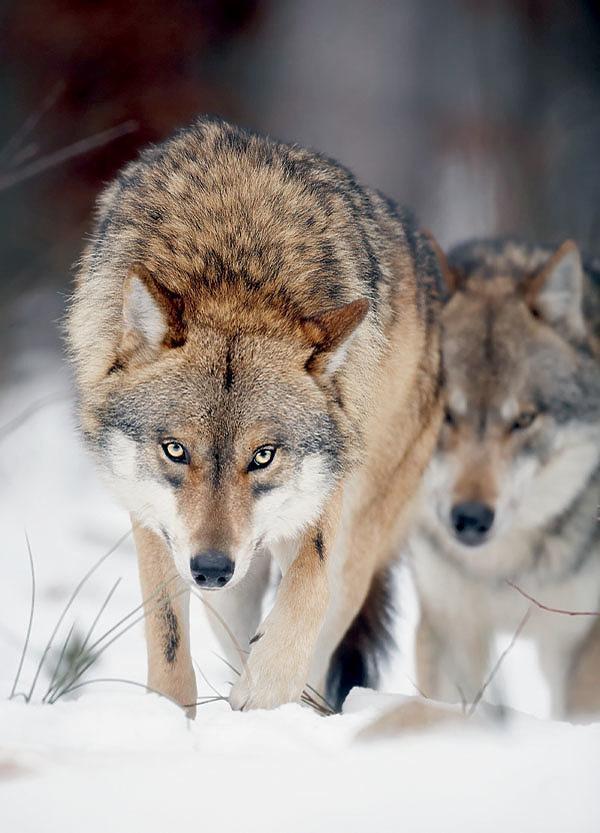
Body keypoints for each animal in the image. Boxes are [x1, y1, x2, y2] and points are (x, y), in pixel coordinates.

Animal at [67, 117, 443, 714]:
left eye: (263, 457)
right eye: (175, 450)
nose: (211, 568)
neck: (236, 271)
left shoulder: (324, 500)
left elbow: (308, 589)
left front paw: (264, 694)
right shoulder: (154, 522)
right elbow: (167, 638)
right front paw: (169, 718)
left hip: (355, 534)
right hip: (230, 589)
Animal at [408, 237, 600, 719]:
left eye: (524, 420)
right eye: (447, 414)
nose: (471, 518)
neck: (503, 569)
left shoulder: (580, 649)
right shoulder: (450, 625)